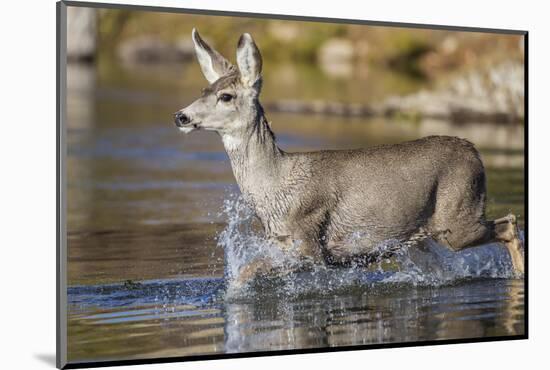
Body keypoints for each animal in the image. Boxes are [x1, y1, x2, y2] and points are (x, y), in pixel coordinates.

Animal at [174, 30, 528, 282]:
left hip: (456, 218)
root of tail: (474, 150)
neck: (275, 185)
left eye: (225, 96)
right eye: (203, 91)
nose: (181, 116)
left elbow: (247, 272)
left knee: (510, 224)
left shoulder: (308, 243)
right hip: (418, 238)